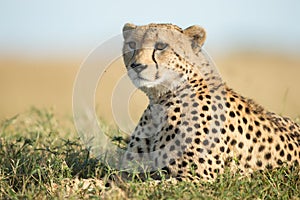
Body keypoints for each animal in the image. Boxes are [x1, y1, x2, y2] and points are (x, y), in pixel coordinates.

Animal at [120, 22, 300, 180]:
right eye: (131, 44)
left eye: (161, 46)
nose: (137, 66)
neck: (160, 100)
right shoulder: (131, 170)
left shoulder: (198, 178)